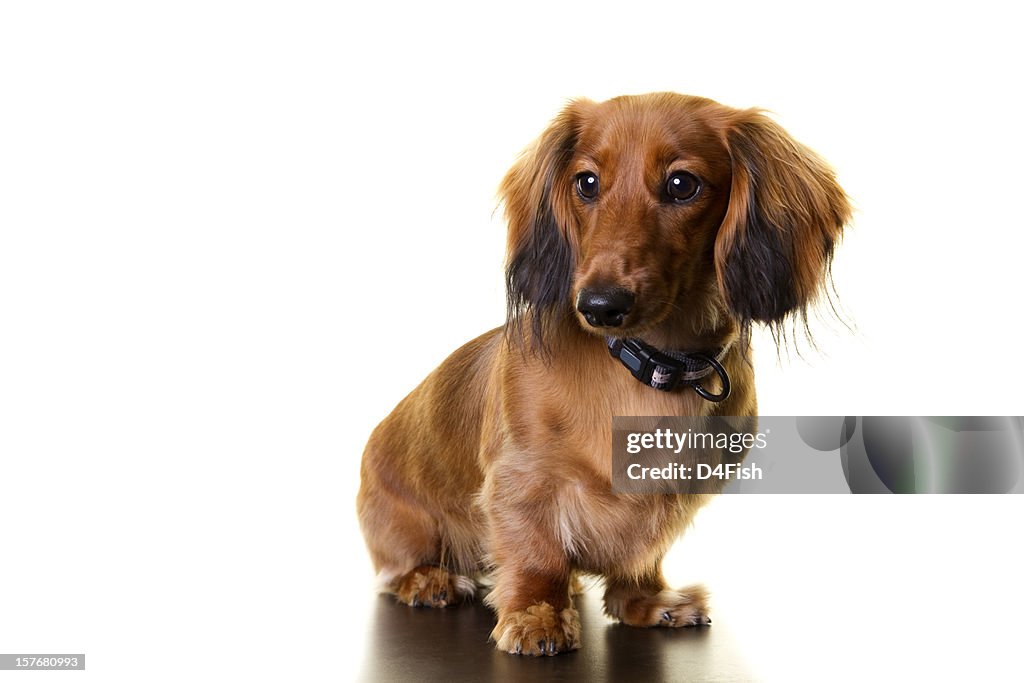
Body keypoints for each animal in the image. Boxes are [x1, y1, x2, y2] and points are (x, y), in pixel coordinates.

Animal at [356, 93, 851, 655]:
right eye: (586, 182)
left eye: (682, 184)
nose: (598, 306)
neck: (650, 368)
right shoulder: (524, 480)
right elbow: (536, 554)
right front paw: (535, 616)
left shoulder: (670, 497)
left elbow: (641, 558)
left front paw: (649, 602)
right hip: (407, 525)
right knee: (396, 570)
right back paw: (428, 580)